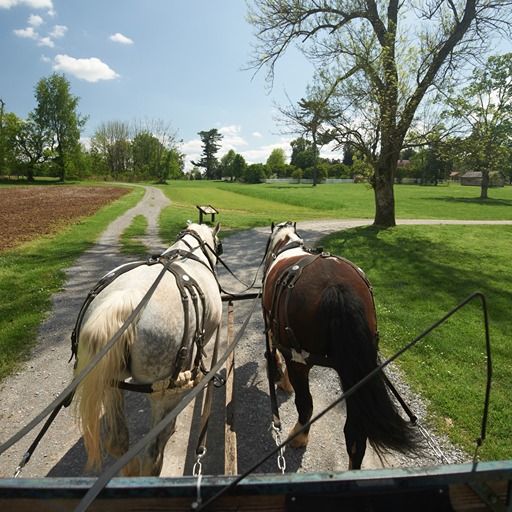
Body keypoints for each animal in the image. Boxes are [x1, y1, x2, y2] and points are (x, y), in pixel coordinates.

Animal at [72, 224, 222, 476]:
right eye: (218, 245)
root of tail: (126, 298)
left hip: (110, 379)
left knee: (117, 440)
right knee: (153, 453)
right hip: (164, 386)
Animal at [262, 222, 418, 470]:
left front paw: (281, 378)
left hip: (303, 361)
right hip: (354, 372)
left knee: (305, 405)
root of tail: (337, 287)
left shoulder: (272, 326)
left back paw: (298, 435)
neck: (287, 245)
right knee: (355, 434)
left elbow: (273, 349)